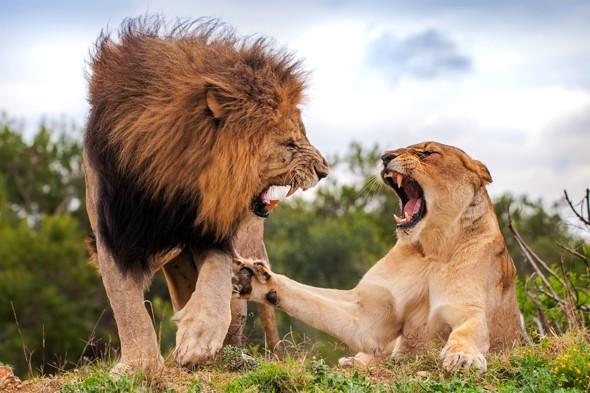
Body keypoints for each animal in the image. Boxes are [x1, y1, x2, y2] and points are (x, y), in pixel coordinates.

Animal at [85, 17, 330, 374]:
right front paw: (138, 364)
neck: (172, 178)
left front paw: (199, 339)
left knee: (246, 307)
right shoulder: (112, 234)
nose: (324, 170)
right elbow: (126, 305)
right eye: (290, 143)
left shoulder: (212, 228)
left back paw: (236, 353)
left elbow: (214, 281)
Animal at [236, 142, 524, 374]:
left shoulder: (467, 311)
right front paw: (253, 278)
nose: (386, 156)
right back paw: (351, 362)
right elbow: (305, 296)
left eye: (427, 152)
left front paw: (464, 358)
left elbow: (467, 333)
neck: (433, 249)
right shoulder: (371, 318)